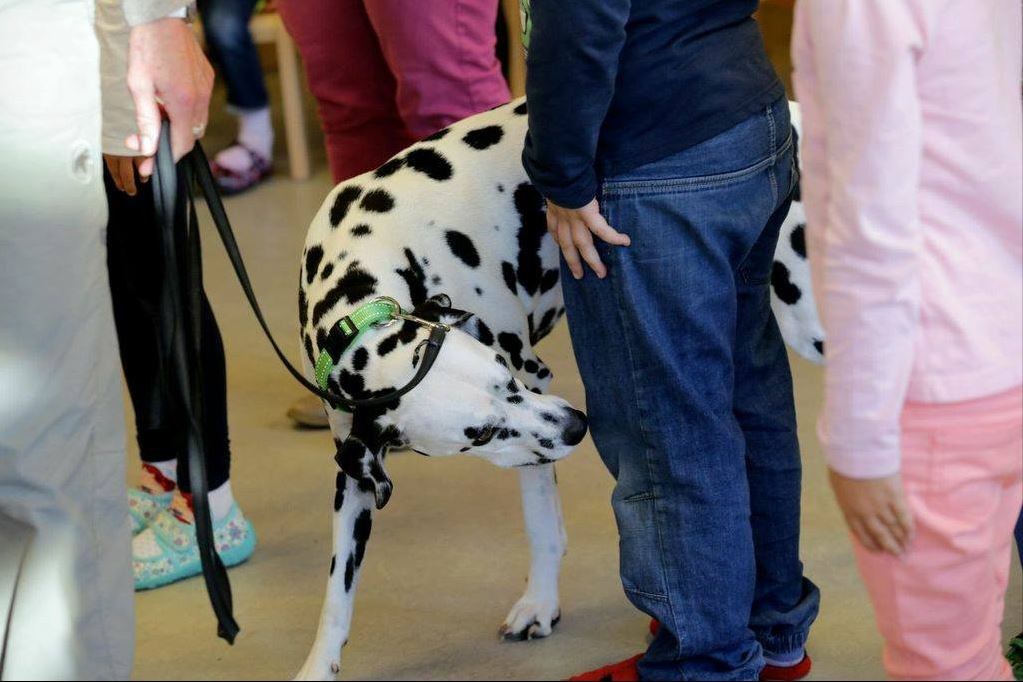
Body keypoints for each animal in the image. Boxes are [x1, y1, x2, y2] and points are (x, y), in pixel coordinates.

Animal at [294, 98, 822, 678]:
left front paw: (540, 604)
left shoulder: (533, 386)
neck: (368, 265)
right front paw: (318, 665)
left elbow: (542, 525)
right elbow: (336, 594)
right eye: (480, 435)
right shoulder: (356, 468)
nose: (577, 426)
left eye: (506, 375)